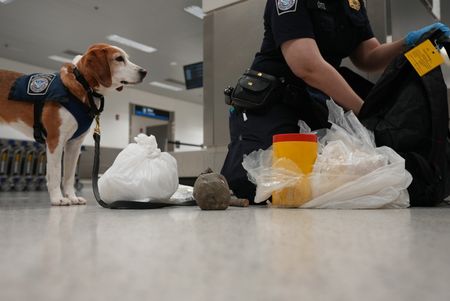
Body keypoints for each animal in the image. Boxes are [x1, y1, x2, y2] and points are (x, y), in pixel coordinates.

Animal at [0, 43, 147, 205]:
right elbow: (56, 172)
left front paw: (72, 197)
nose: (144, 72)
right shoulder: (55, 141)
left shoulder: (74, 145)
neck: (83, 85)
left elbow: (69, 176)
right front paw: (57, 198)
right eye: (119, 59)